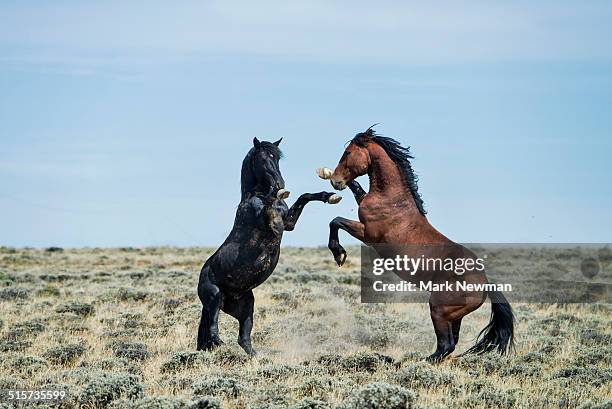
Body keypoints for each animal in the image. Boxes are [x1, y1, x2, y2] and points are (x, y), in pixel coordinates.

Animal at [196, 137, 340, 354]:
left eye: (278, 158)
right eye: (263, 158)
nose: (281, 184)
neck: (255, 197)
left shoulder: (288, 224)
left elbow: (304, 196)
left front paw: (330, 196)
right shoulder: (272, 225)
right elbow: (272, 203)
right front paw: (278, 192)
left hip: (246, 306)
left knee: (243, 339)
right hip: (214, 298)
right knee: (214, 332)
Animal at [318, 126, 512, 360]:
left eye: (347, 153)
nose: (335, 181)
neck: (392, 199)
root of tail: (485, 283)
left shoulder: (368, 233)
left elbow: (335, 221)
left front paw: (339, 253)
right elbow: (355, 193)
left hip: (438, 309)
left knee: (445, 345)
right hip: (454, 316)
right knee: (450, 344)